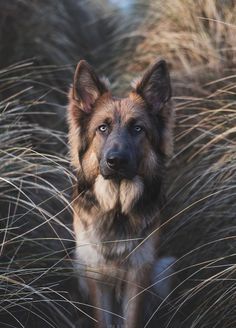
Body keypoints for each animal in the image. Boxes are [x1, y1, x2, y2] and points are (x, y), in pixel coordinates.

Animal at [67, 59, 174, 328]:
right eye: (102, 128)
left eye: (137, 128)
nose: (116, 161)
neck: (116, 208)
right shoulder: (95, 272)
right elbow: (101, 319)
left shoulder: (139, 274)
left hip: (164, 268)